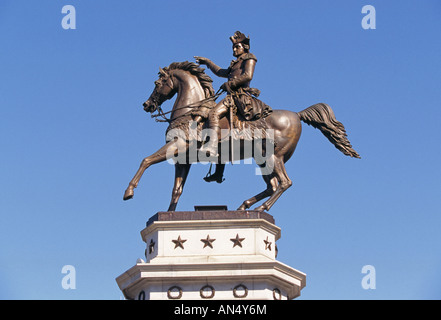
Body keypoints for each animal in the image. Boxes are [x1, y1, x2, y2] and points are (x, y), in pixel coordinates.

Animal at [122, 62, 360, 212]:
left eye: (157, 83)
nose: (146, 104)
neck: (190, 112)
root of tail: (297, 114)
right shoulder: (183, 159)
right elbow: (176, 190)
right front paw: (169, 214)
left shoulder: (176, 147)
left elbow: (146, 160)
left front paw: (129, 191)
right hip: (263, 159)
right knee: (272, 185)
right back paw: (245, 206)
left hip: (275, 157)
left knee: (284, 183)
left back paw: (260, 208)